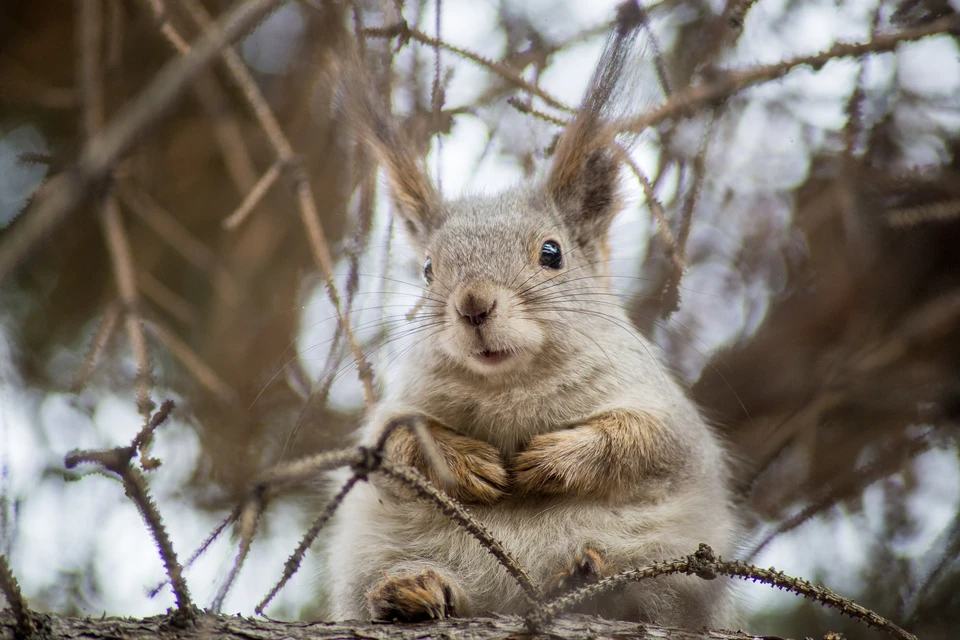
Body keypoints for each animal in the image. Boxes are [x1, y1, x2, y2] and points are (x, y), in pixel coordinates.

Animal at [326, 1, 740, 632]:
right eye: (427, 268)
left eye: (552, 253)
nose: (473, 304)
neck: (510, 387)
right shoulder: (392, 415)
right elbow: (392, 449)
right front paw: (463, 462)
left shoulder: (670, 417)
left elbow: (645, 440)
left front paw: (552, 459)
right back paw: (411, 590)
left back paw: (588, 576)